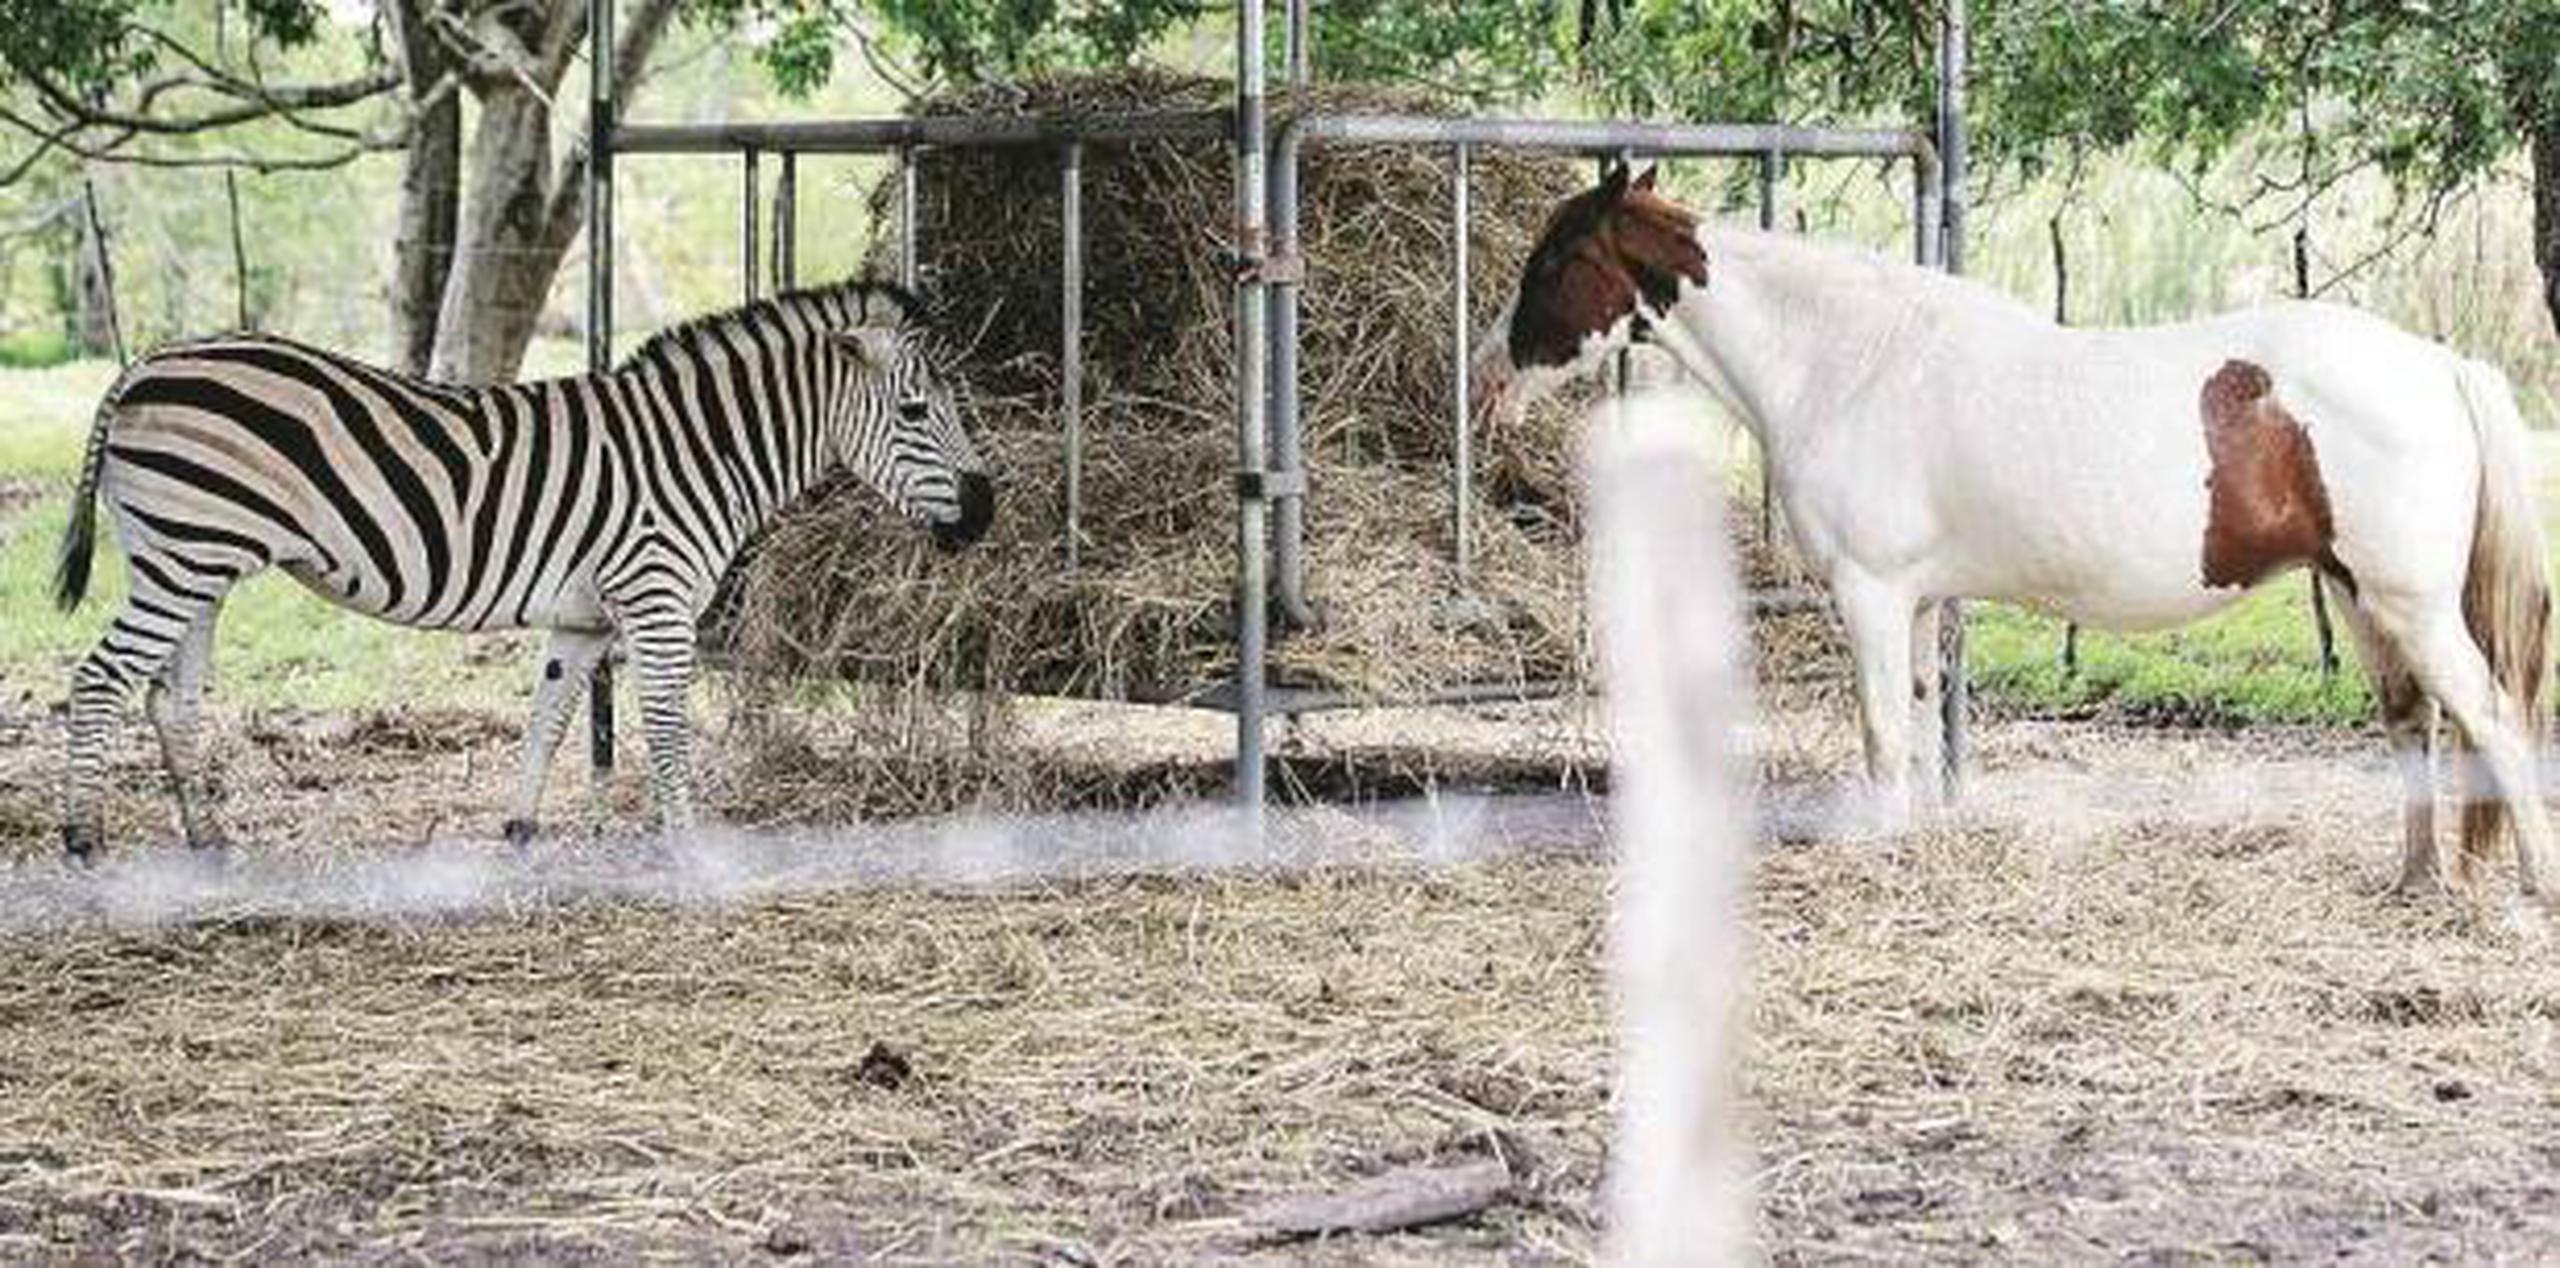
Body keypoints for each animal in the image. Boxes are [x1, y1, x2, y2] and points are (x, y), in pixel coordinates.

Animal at [52, 276, 988, 855]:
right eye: (915, 411)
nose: (984, 513)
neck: (695, 450)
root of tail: (144, 365)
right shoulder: (655, 600)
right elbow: (668, 730)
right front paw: (691, 848)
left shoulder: (583, 619)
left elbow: (547, 719)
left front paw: (520, 832)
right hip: (186, 557)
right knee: (99, 680)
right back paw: (83, 840)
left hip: (194, 567)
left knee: (168, 699)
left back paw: (207, 842)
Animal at [1495, 163, 2549, 906]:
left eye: (1553, 262)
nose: (1491, 379)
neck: (1847, 363)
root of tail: (2442, 365)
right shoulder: (1918, 602)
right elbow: (1920, 727)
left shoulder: (1871, 594)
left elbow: (1883, 735)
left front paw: (1881, 850)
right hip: (2358, 595)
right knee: (2415, 722)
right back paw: (2416, 882)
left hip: (2411, 604)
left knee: (2495, 717)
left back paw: (2530, 886)